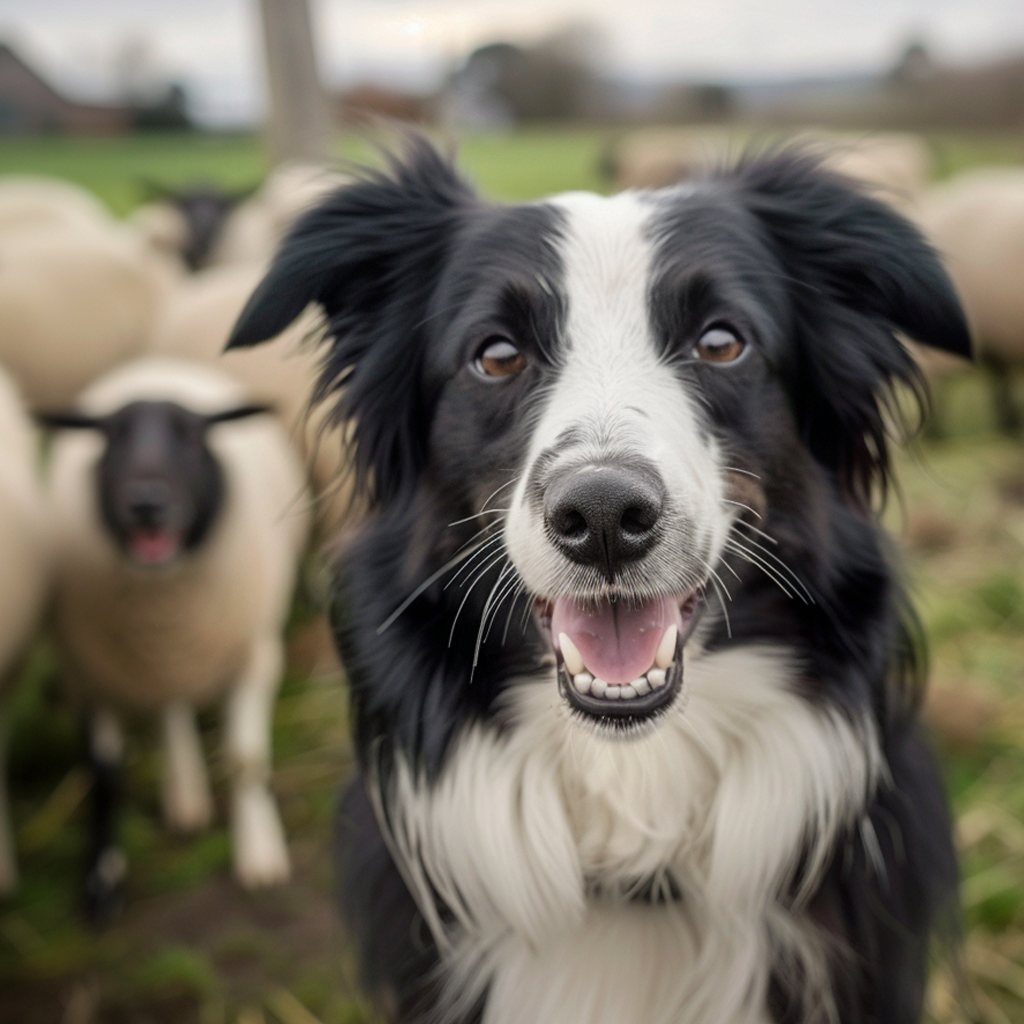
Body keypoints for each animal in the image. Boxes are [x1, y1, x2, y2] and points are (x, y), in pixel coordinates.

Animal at [44, 356, 313, 917]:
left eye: (192, 437)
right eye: (111, 437)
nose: (147, 502)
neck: (165, 607)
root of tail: (154, 366)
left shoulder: (256, 655)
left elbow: (245, 758)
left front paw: (260, 854)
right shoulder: (86, 672)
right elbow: (105, 776)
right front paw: (102, 880)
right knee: (170, 706)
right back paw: (185, 793)